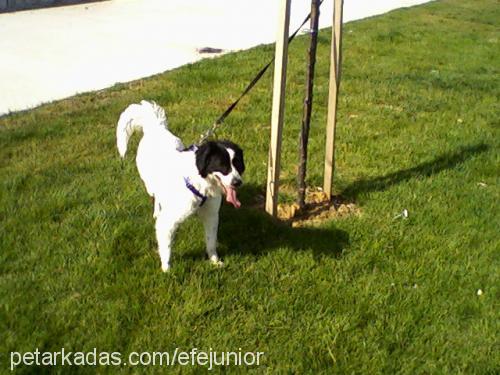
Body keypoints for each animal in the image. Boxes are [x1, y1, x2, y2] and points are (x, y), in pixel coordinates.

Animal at [115, 100, 244, 270]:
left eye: (237, 164)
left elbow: (211, 242)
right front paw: (166, 269)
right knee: (156, 197)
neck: (199, 183)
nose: (238, 182)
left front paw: (215, 261)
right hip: (150, 185)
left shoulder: (211, 215)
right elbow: (166, 246)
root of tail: (156, 126)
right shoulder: (167, 220)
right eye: (223, 166)